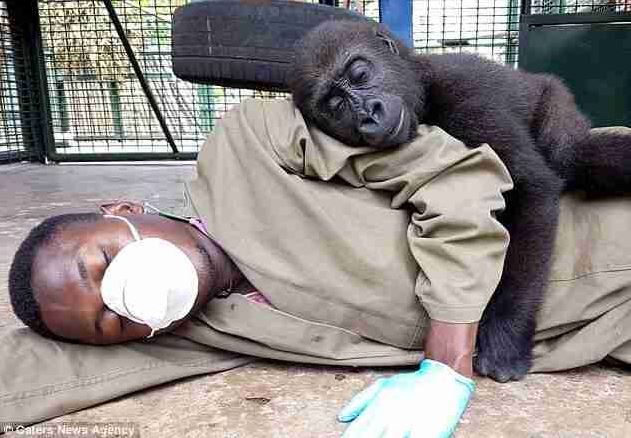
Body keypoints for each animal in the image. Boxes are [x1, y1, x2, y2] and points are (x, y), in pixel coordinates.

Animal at [290, 19, 631, 384]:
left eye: (360, 74)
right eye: (336, 106)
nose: (369, 113)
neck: (423, 87)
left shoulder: (464, 96)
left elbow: (531, 189)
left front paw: (505, 337)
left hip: (556, 99)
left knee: (570, 153)